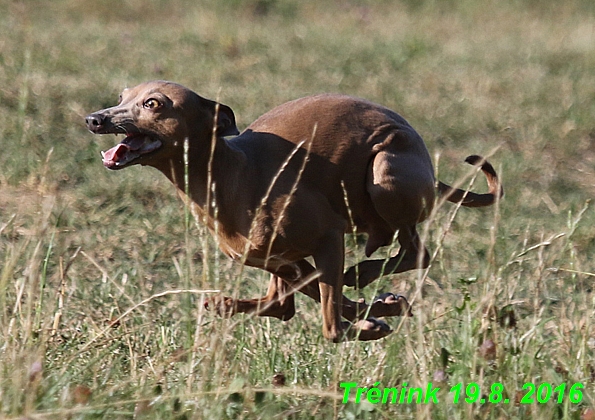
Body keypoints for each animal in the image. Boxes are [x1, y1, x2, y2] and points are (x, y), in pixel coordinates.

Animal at [85, 81, 502, 342]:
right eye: (122, 96)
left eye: (153, 103)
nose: (94, 118)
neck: (234, 172)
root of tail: (429, 169)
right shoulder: (284, 258)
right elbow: (304, 300)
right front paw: (379, 309)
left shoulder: (328, 238)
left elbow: (332, 324)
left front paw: (371, 318)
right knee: (283, 301)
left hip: (384, 174)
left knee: (417, 251)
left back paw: (366, 274)